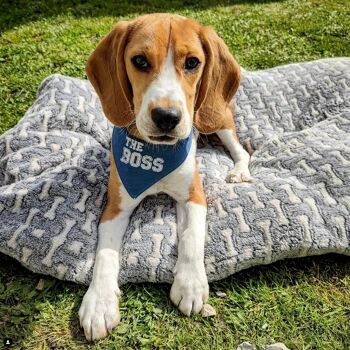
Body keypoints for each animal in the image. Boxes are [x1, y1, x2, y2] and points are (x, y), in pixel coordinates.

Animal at [78, 14, 252, 342]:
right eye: (140, 61)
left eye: (193, 62)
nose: (167, 117)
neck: (154, 155)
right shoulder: (115, 207)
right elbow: (105, 254)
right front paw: (99, 302)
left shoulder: (195, 195)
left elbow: (192, 235)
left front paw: (191, 283)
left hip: (217, 119)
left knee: (242, 149)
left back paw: (239, 170)